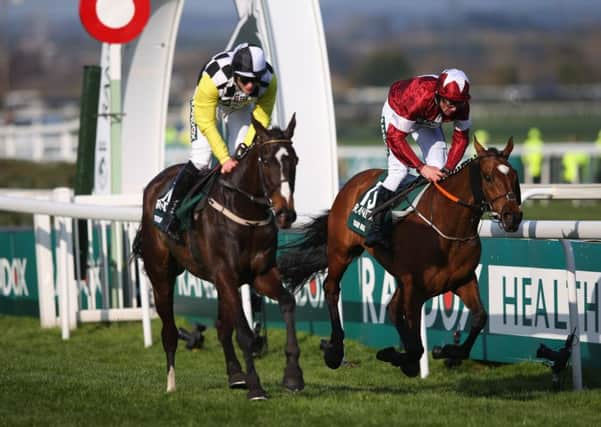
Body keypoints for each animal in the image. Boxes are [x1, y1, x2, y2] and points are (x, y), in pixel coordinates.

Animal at [134, 114, 308, 402]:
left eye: (294, 160)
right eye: (266, 161)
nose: (286, 213)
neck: (244, 211)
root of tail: (154, 184)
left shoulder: (259, 274)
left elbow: (287, 302)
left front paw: (293, 375)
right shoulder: (225, 273)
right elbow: (245, 334)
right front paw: (256, 387)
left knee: (221, 326)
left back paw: (235, 374)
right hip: (160, 275)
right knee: (169, 331)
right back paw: (171, 383)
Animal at [276, 137, 520, 378]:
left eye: (515, 176)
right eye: (488, 177)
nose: (513, 216)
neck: (447, 229)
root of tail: (353, 182)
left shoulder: (462, 280)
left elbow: (479, 318)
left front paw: (445, 351)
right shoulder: (414, 287)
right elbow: (416, 346)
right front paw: (397, 356)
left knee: (392, 307)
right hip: (340, 251)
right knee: (331, 288)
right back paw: (335, 350)